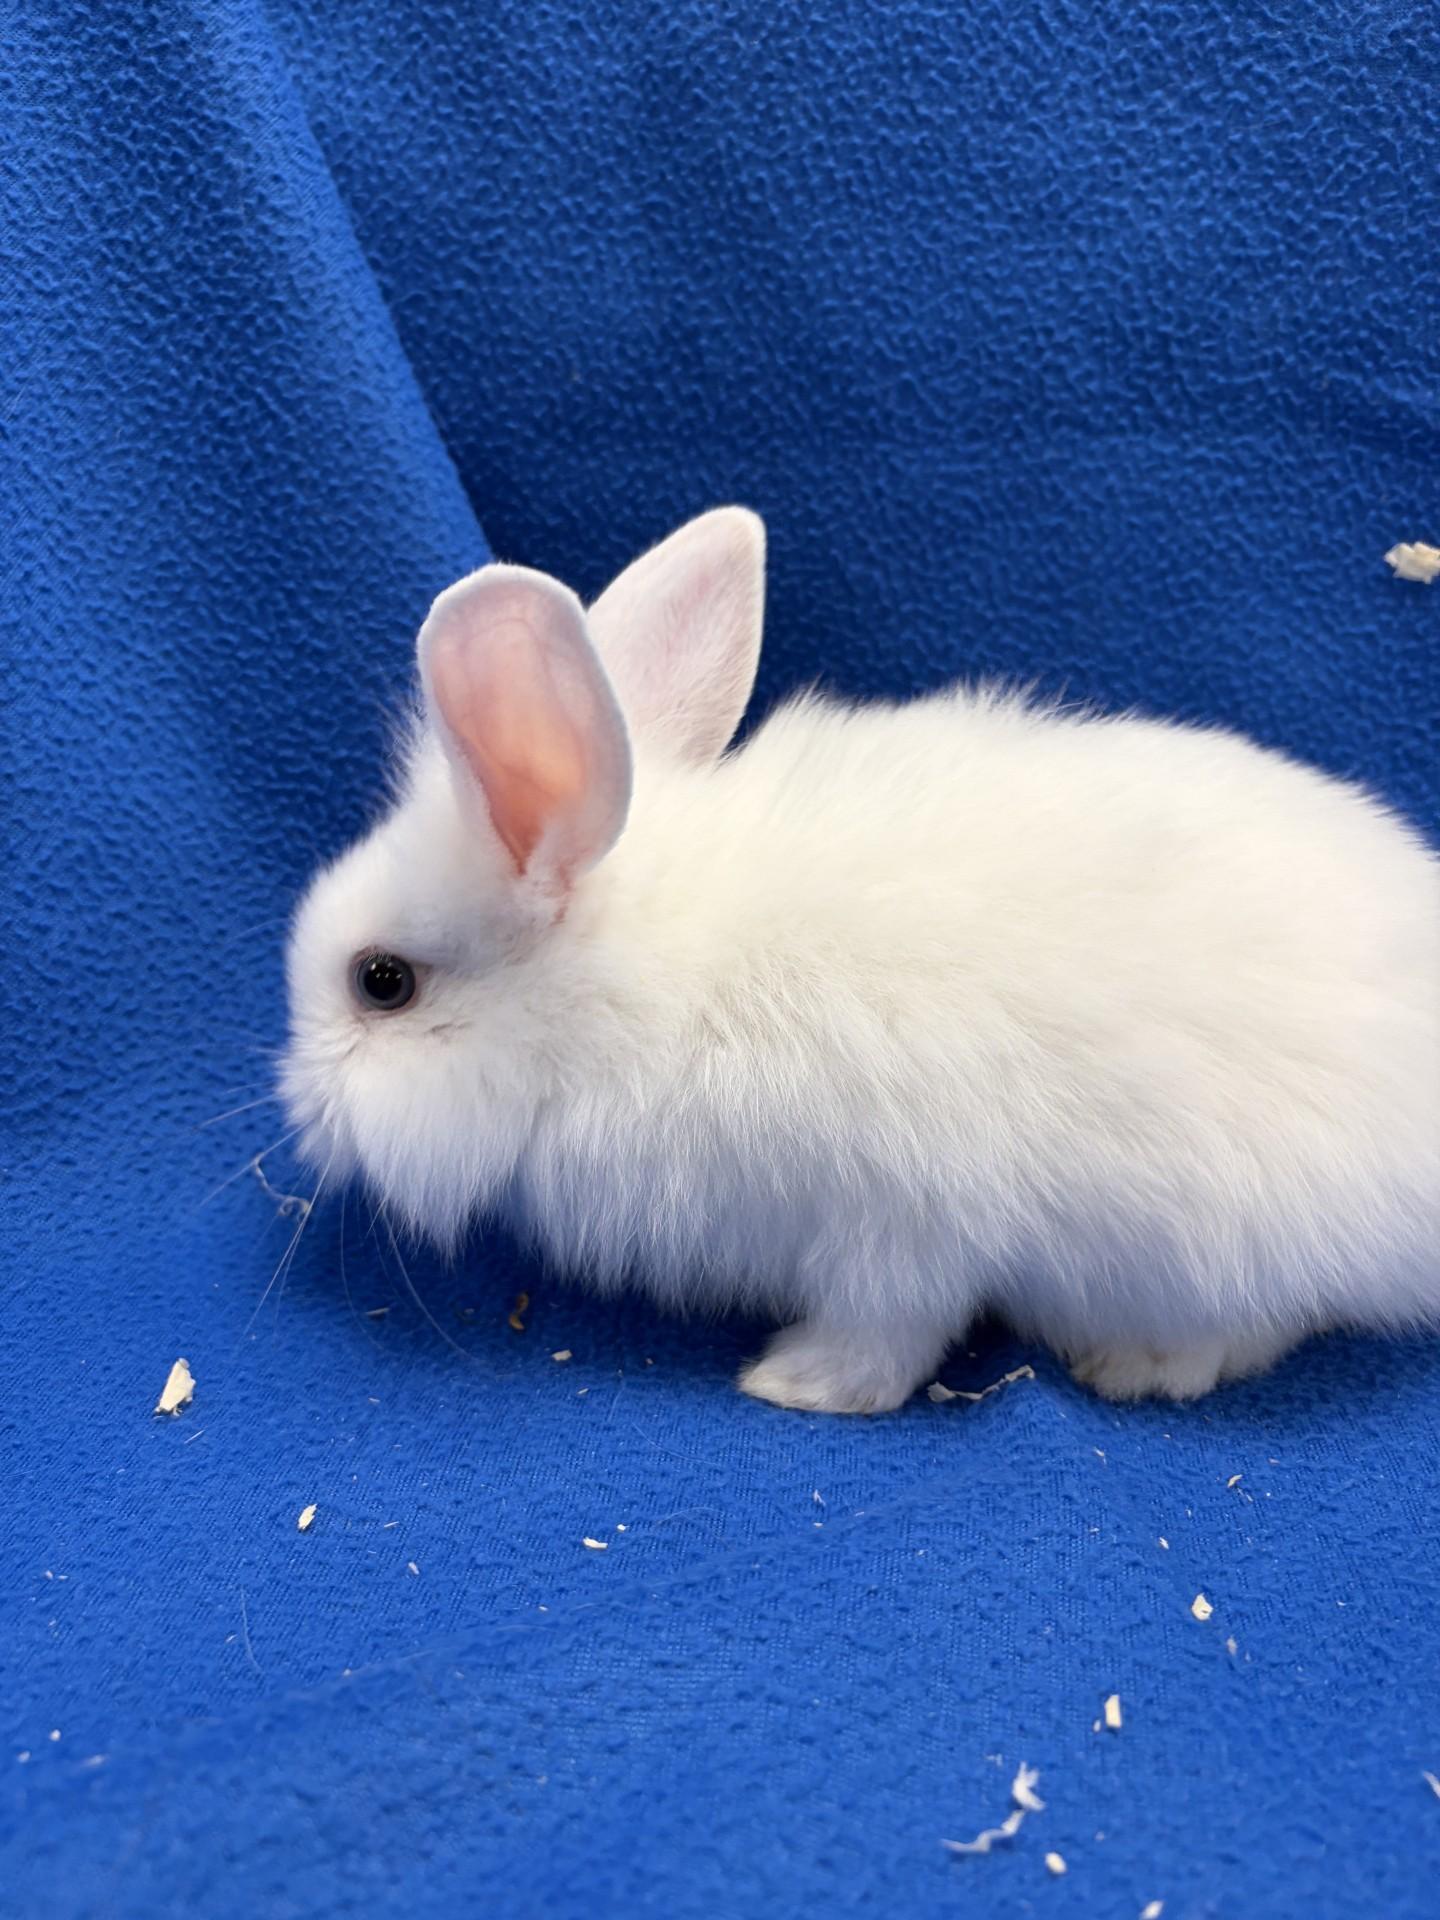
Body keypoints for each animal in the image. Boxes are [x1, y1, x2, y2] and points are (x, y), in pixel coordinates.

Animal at [282, 507, 1440, 1413]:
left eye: (381, 982)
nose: (296, 1108)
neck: (633, 986)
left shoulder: (899, 1220)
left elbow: (887, 1331)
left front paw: (792, 1383)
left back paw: (1136, 1365)